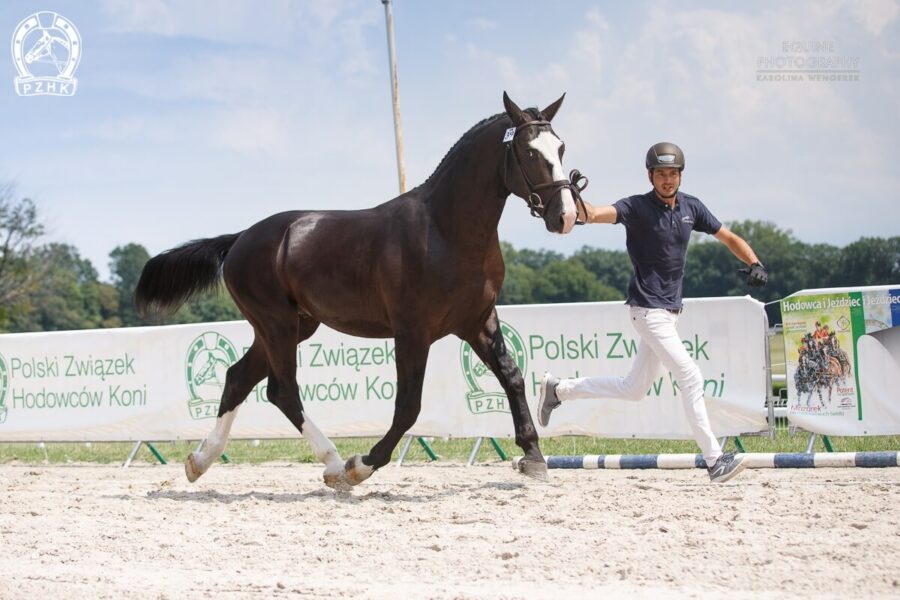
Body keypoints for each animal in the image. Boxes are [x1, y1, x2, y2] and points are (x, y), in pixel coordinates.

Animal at [136, 91, 580, 490]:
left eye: (560, 147)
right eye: (529, 152)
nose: (566, 216)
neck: (445, 231)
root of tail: (240, 238)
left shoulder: (478, 320)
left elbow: (512, 377)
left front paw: (534, 457)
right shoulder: (412, 332)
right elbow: (409, 406)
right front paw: (362, 465)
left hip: (295, 325)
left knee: (238, 378)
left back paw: (199, 462)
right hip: (276, 324)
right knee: (283, 390)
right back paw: (335, 465)